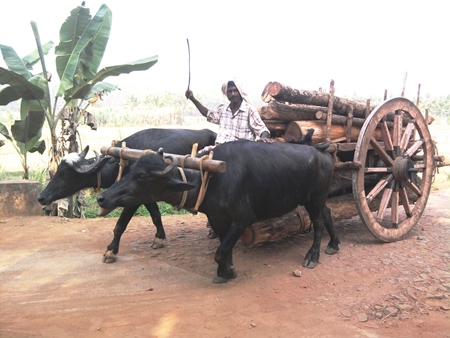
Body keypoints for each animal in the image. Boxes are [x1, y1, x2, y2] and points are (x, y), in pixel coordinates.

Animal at [37, 127, 216, 262]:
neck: (119, 163)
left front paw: (111, 251)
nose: (41, 197)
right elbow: (156, 216)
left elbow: (120, 225)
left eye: (66, 173)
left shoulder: (133, 199)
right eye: (59, 170)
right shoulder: (147, 195)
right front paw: (159, 238)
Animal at [97, 136, 338, 284]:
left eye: (142, 176)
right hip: (316, 200)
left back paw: (313, 256)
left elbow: (220, 251)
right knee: (327, 214)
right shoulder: (217, 219)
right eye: (131, 169)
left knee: (318, 222)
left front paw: (228, 271)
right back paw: (334, 244)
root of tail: (323, 152)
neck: (213, 179)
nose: (102, 197)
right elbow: (224, 247)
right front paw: (226, 270)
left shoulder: (243, 219)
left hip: (314, 199)